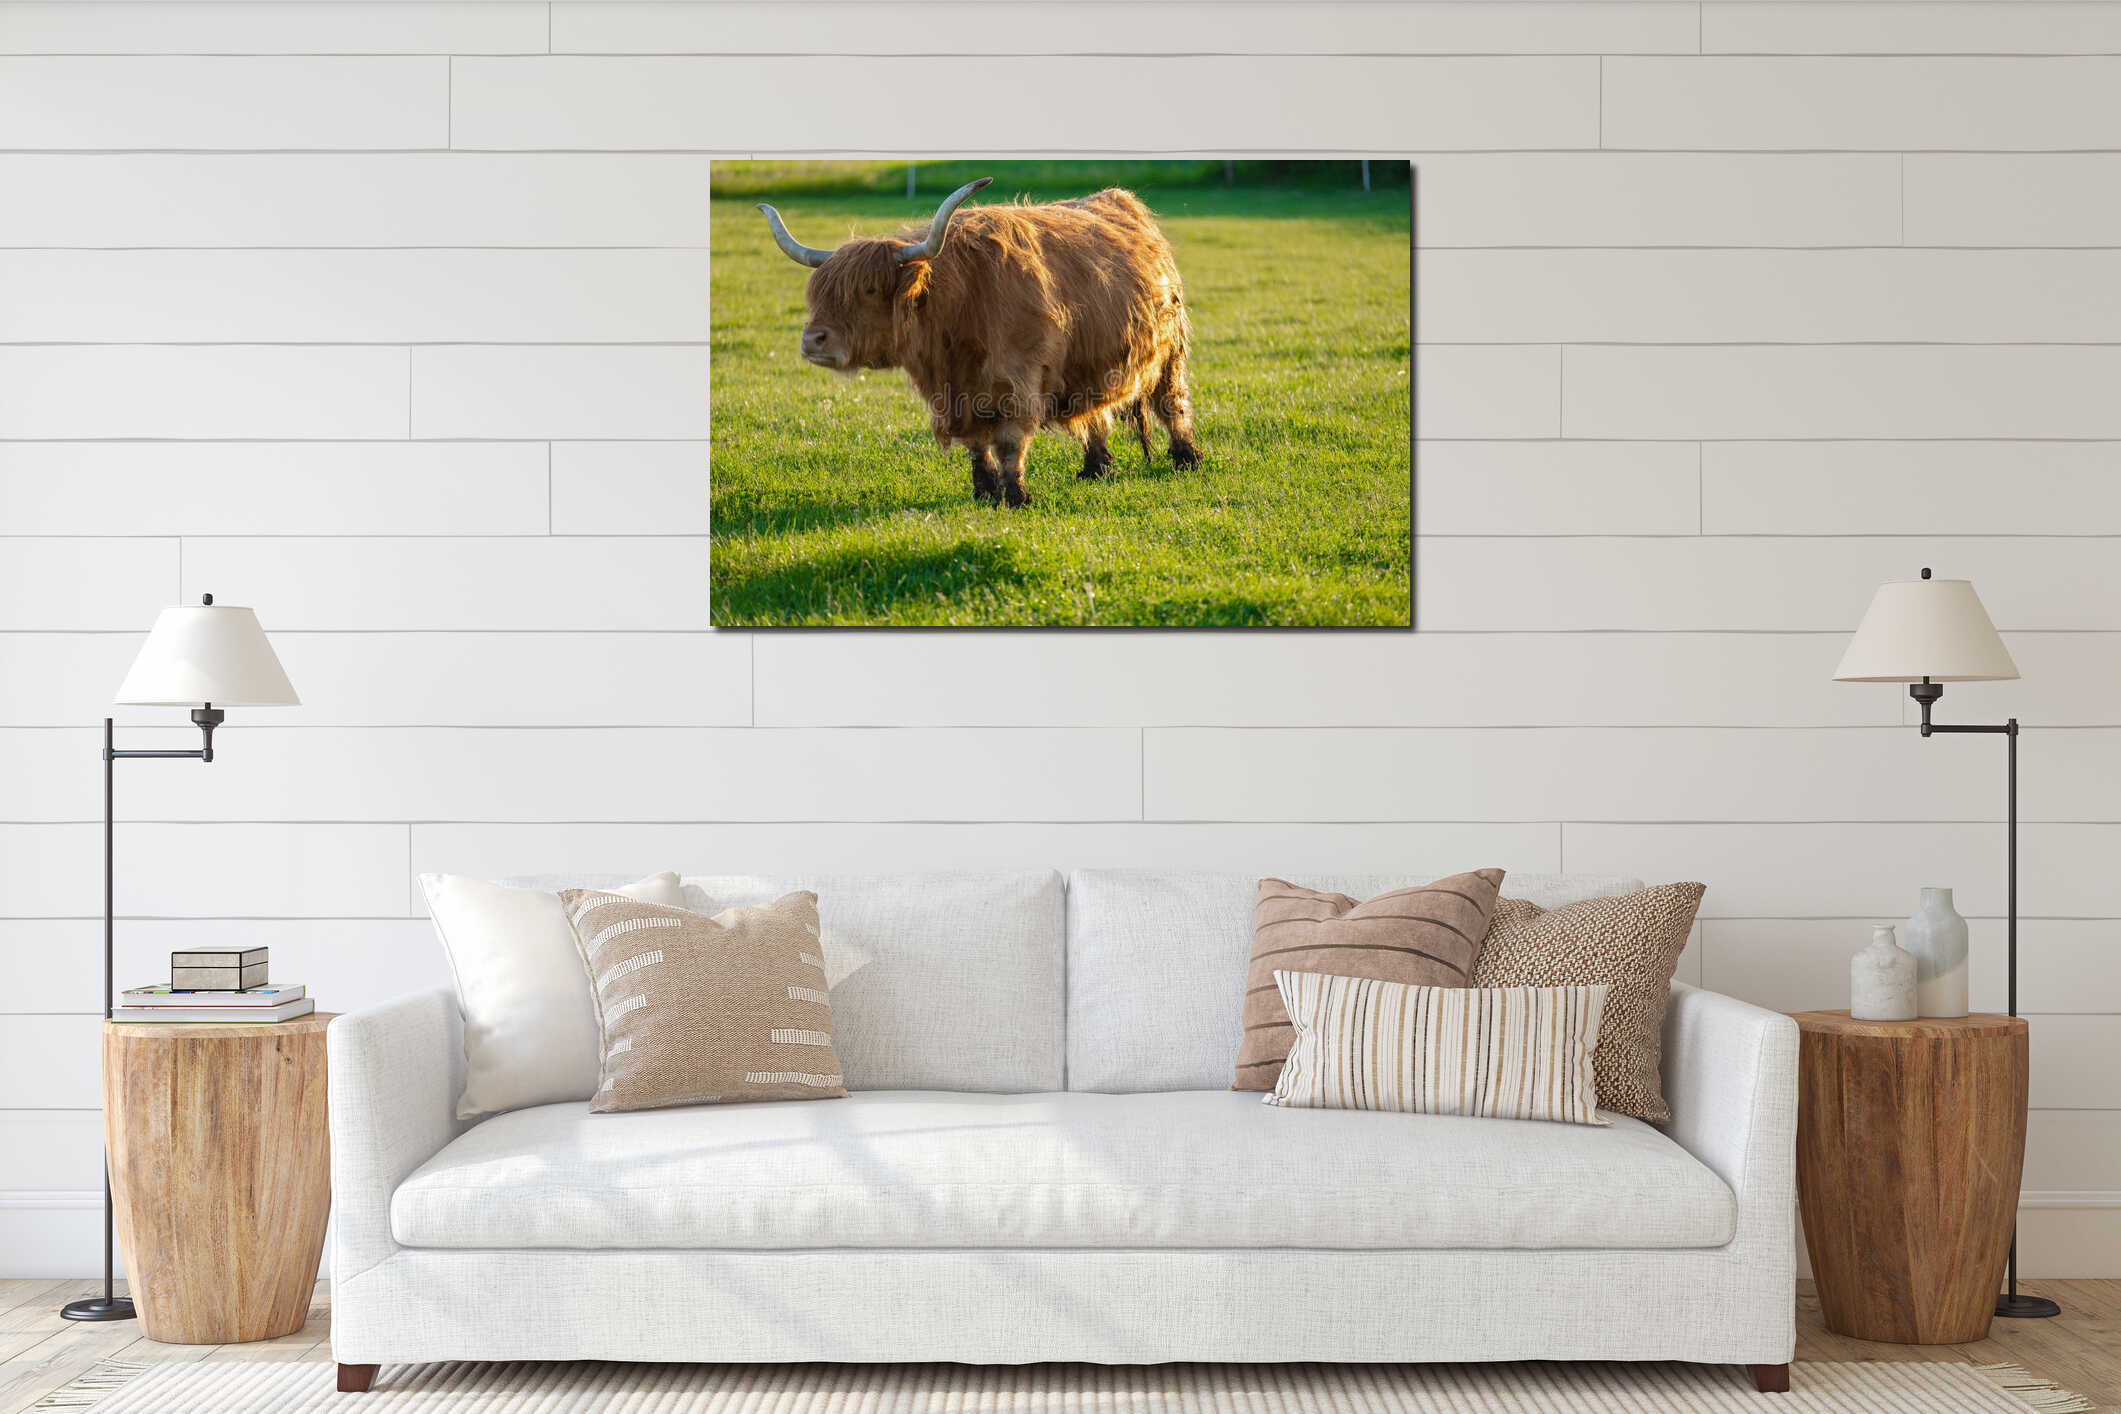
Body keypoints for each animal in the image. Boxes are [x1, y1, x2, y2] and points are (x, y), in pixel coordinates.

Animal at [757, 177, 1201, 508]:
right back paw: (1096, 468)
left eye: (868, 289)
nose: (812, 339)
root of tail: (1121, 200)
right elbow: (976, 445)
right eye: (819, 294)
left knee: (1172, 403)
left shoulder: (1020, 380)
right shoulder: (955, 394)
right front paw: (984, 491)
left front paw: (1016, 496)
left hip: (1170, 352)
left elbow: (1009, 442)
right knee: (1097, 413)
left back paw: (1187, 459)